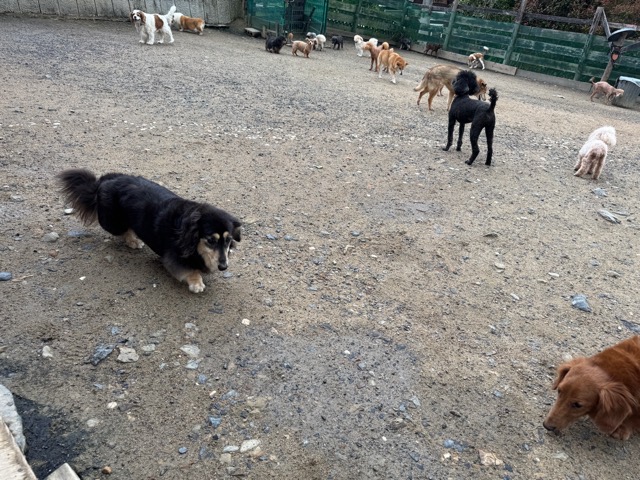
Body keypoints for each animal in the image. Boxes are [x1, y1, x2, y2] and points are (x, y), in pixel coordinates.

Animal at [57, 169, 241, 294]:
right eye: (210, 240)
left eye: (228, 240)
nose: (223, 267)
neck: (190, 237)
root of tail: (102, 181)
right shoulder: (173, 258)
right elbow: (189, 270)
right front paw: (196, 282)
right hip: (113, 223)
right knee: (123, 230)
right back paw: (133, 240)